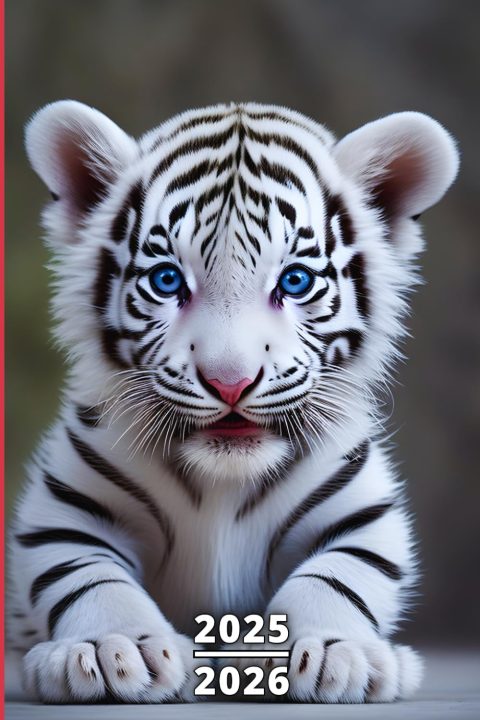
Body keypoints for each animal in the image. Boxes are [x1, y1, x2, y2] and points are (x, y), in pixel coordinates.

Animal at [7, 100, 458, 704]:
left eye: (295, 281)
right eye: (167, 280)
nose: (230, 383)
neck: (223, 481)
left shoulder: (362, 508)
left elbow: (344, 573)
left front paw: (332, 655)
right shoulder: (68, 506)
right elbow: (84, 574)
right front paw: (114, 651)